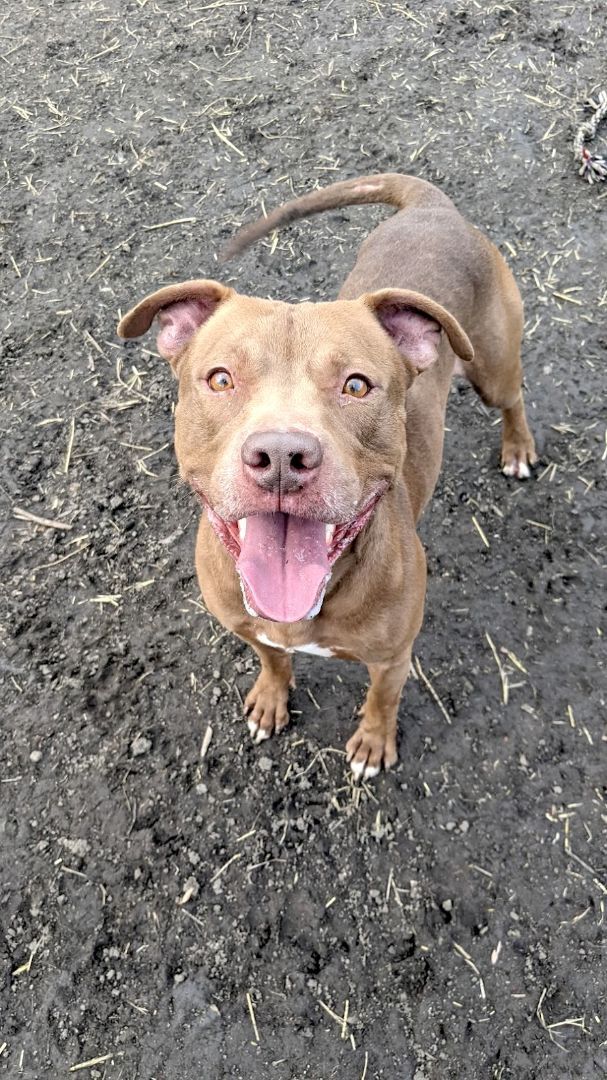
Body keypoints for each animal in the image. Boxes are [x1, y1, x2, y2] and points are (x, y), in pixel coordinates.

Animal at [119, 174, 533, 777]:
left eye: (356, 385)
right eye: (220, 379)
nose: (281, 457)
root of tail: (432, 206)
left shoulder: (393, 657)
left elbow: (382, 699)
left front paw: (373, 743)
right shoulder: (253, 628)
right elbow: (273, 660)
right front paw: (271, 699)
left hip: (491, 365)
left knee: (513, 396)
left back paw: (519, 448)